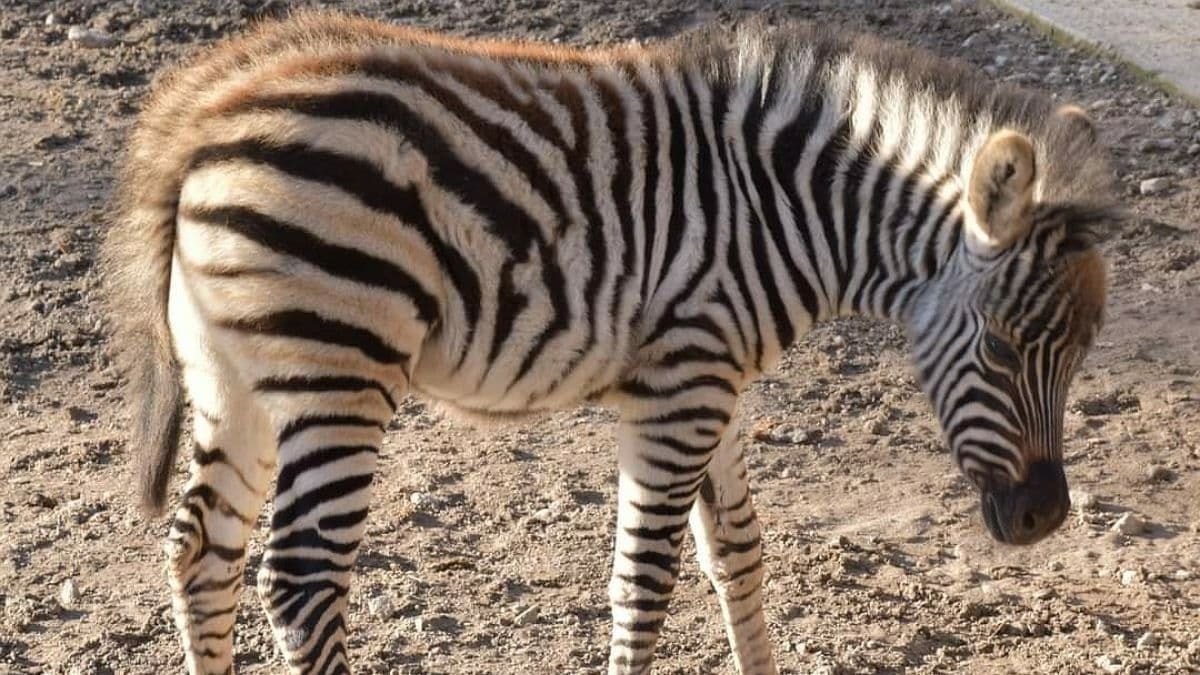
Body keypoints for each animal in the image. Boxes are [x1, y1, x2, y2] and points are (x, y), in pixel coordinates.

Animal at [103, 10, 1113, 672]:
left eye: (1080, 352)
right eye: (1003, 347)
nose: (1045, 518)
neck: (780, 213)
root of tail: (203, 109)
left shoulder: (713, 380)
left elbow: (737, 550)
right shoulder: (681, 390)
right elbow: (646, 580)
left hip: (232, 374)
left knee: (201, 551)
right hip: (338, 373)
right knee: (303, 579)